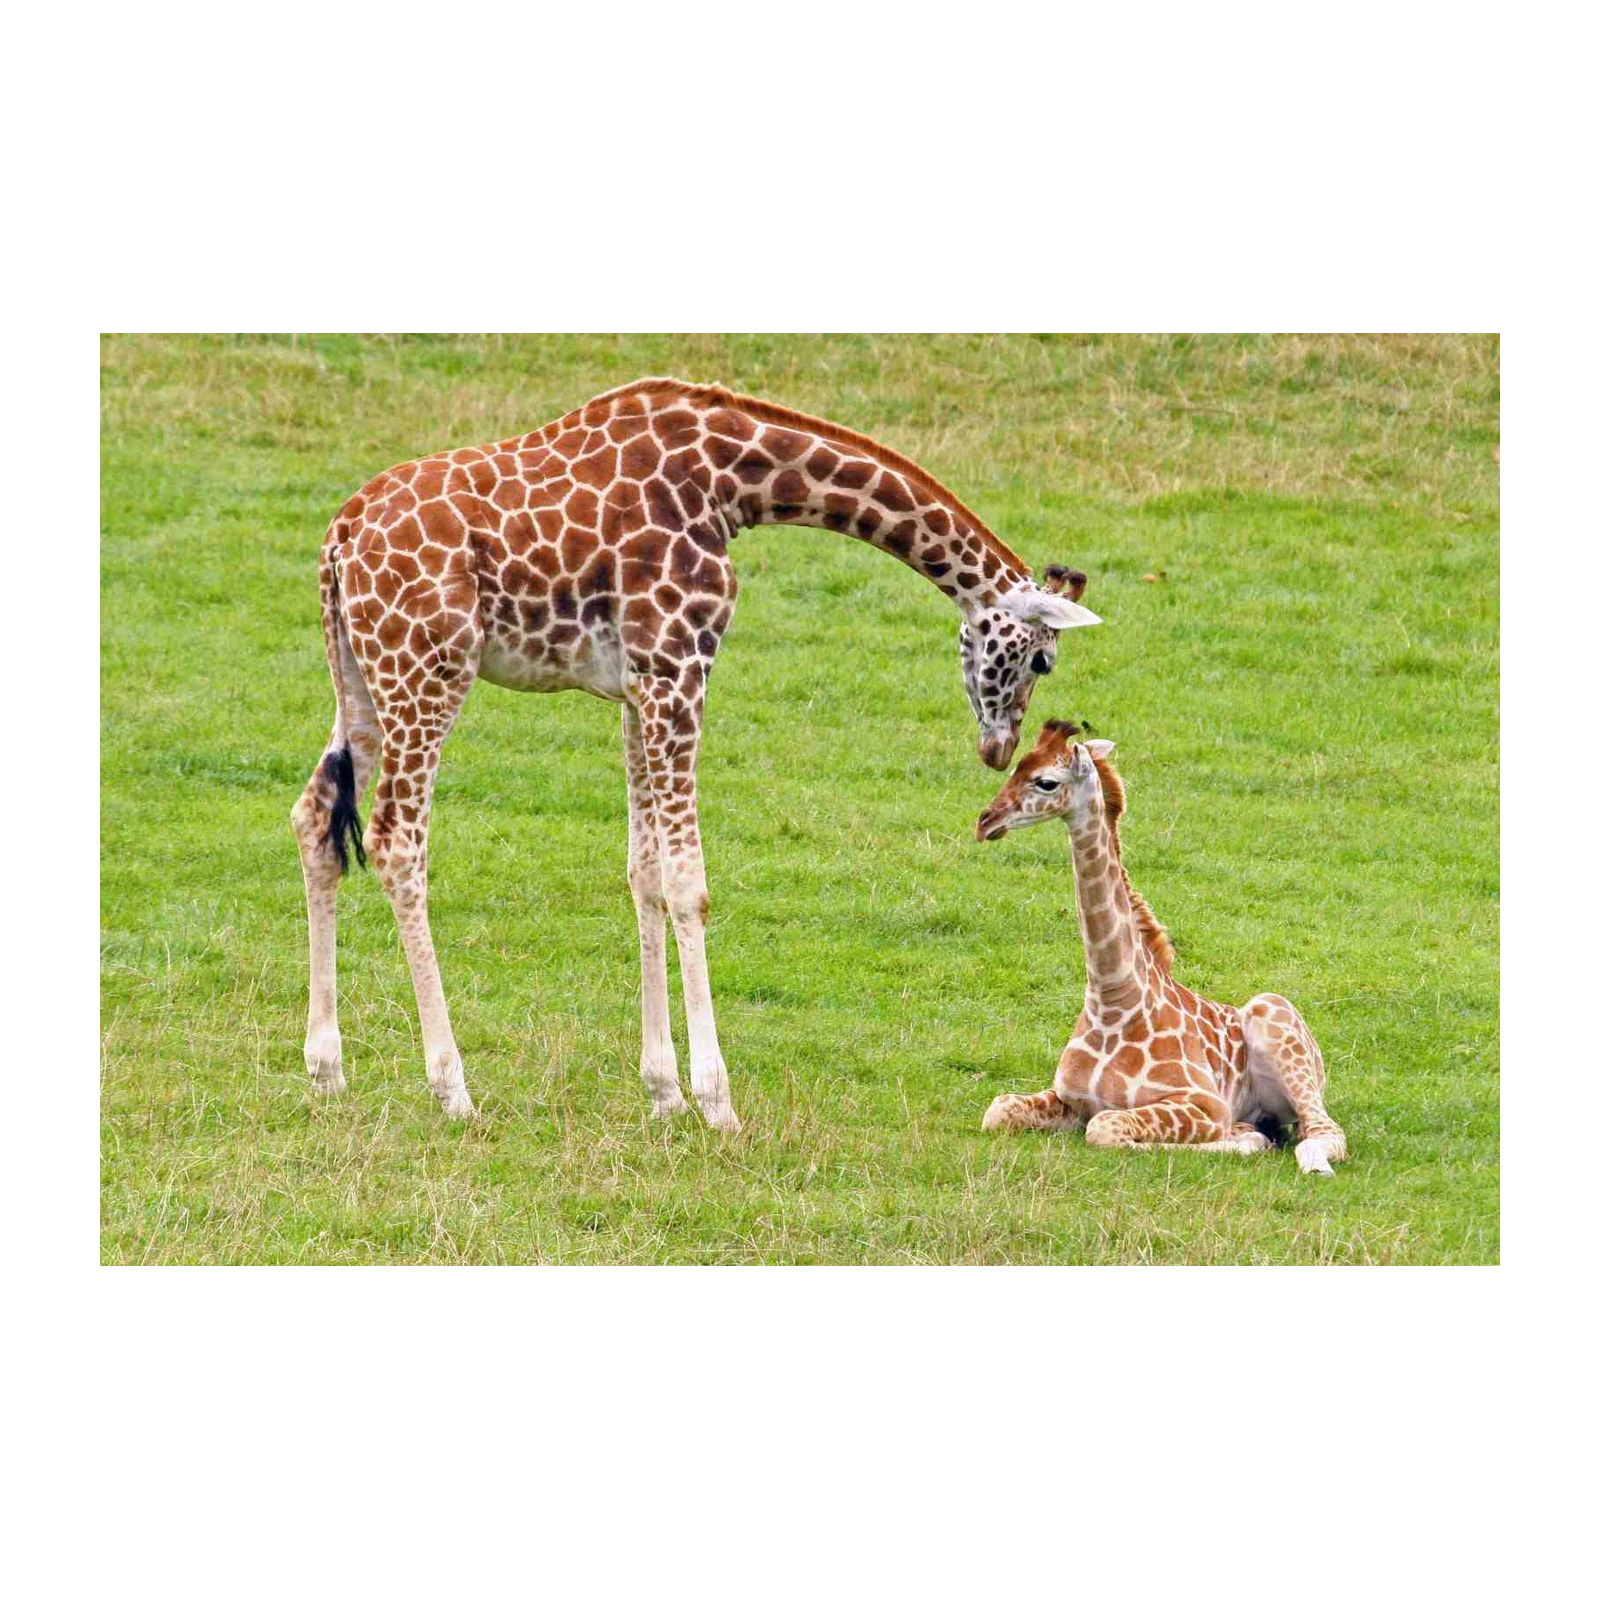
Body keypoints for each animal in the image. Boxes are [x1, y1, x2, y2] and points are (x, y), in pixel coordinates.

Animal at [290, 377, 1101, 1129]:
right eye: (1042, 661)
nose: (998, 748)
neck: (730, 482)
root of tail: (337, 538)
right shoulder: (678, 670)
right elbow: (688, 881)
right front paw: (717, 1101)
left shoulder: (636, 687)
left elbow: (643, 871)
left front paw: (664, 1092)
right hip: (428, 671)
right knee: (397, 840)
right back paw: (451, 1087)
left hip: (359, 676)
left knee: (315, 815)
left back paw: (327, 1070)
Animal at [973, 721, 1347, 1174]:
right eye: (1015, 767)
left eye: (1046, 781)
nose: (985, 821)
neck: (1113, 999)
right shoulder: (1066, 1098)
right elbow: (998, 1109)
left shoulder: (1205, 1105)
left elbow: (1105, 1127)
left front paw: (1242, 1139)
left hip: (1277, 1021)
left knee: (1326, 1132)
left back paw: (1309, 1160)